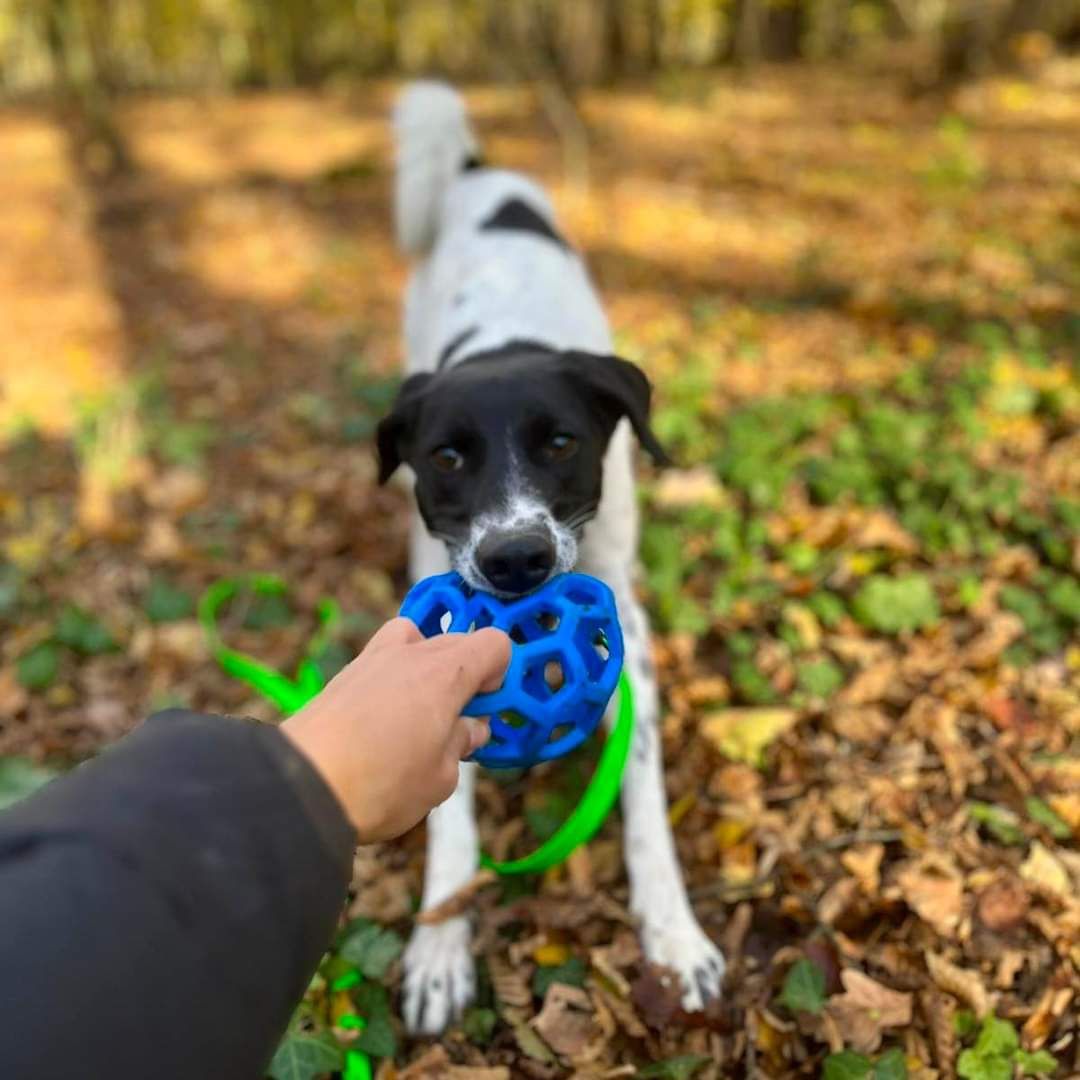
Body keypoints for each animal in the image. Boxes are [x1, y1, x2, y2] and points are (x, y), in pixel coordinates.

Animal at [380, 79, 725, 1032]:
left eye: (563, 443)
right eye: (447, 459)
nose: (516, 561)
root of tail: (477, 169)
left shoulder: (625, 618)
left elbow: (643, 792)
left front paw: (673, 936)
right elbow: (449, 812)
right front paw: (439, 942)